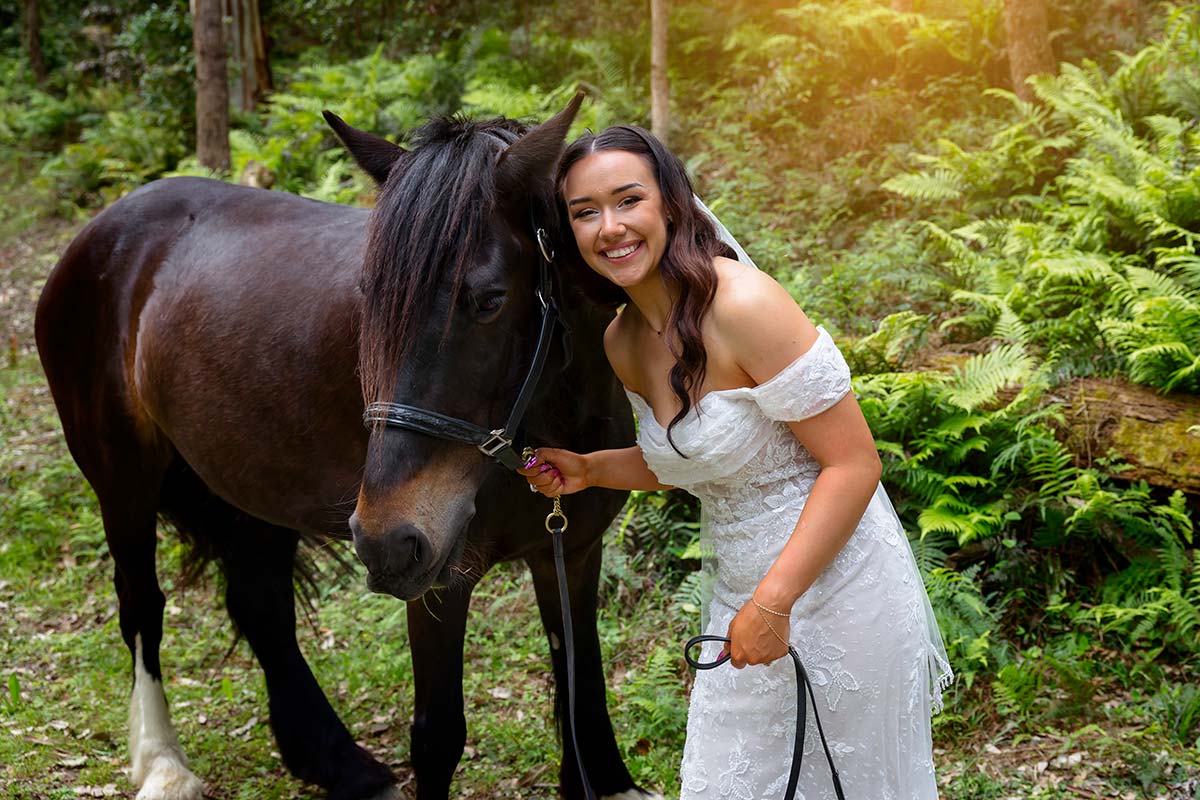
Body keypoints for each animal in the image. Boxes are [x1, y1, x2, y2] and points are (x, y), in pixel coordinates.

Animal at [35, 98, 657, 800]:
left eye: (489, 300)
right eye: (369, 296)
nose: (388, 540)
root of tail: (100, 228)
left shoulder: (572, 549)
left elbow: (583, 683)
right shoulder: (442, 577)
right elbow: (438, 733)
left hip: (252, 487)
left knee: (260, 605)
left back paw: (338, 762)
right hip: (124, 481)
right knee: (142, 603)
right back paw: (163, 763)